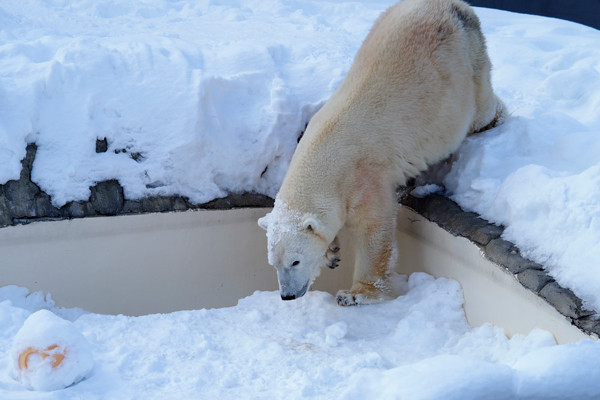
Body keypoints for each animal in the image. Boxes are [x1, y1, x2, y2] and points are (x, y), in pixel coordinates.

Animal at [256, 0, 502, 304]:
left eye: (295, 261)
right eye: (273, 263)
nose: (287, 296)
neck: (325, 152)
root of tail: (454, 5)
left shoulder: (363, 178)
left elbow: (373, 229)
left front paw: (356, 294)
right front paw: (332, 253)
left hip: (467, 61)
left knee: (481, 107)